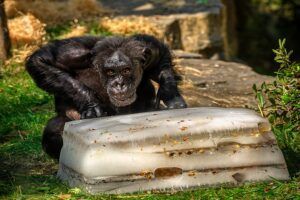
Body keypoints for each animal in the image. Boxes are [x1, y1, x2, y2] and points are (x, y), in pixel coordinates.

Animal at [25, 34, 186, 159]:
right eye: (110, 72)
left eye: (126, 70)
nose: (119, 84)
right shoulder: (72, 52)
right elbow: (41, 60)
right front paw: (91, 104)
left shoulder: (147, 49)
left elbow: (161, 57)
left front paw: (171, 96)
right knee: (53, 129)